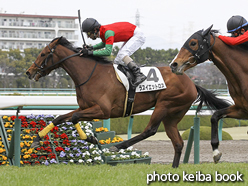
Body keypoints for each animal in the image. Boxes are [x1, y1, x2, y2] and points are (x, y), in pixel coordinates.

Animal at [26, 36, 230, 167]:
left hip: (165, 104)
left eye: (43, 54)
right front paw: (37, 139)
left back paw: (118, 146)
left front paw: (92, 138)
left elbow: (74, 118)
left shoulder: (103, 110)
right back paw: (173, 168)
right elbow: (61, 117)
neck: (91, 75)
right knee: (178, 142)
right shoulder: (85, 107)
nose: (29, 72)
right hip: (172, 116)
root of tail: (192, 83)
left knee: (150, 130)